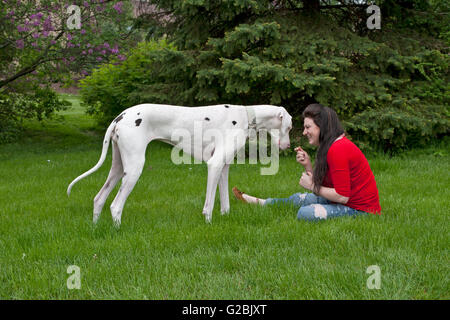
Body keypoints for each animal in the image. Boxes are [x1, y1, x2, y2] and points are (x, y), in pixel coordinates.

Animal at [66, 104, 292, 226]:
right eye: (289, 127)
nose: (289, 145)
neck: (246, 115)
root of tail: (119, 117)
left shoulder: (224, 168)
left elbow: (225, 202)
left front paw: (225, 218)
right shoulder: (214, 165)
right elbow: (209, 204)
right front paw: (208, 223)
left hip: (118, 169)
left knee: (99, 199)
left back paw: (96, 227)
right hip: (134, 169)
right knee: (115, 205)